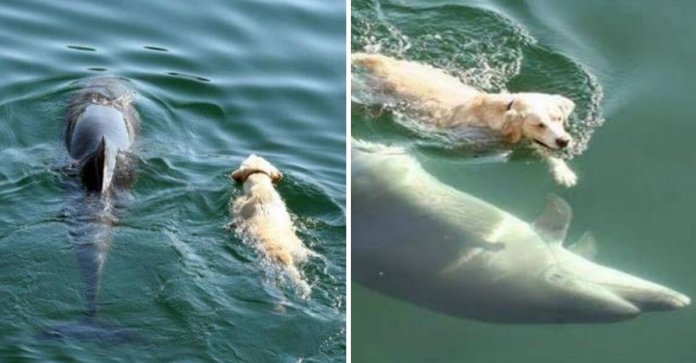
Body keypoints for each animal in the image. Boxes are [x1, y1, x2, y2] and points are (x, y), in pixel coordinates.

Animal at [354, 52, 576, 188]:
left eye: (558, 118)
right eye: (539, 124)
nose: (564, 141)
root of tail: (387, 62)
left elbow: (543, 150)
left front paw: (563, 172)